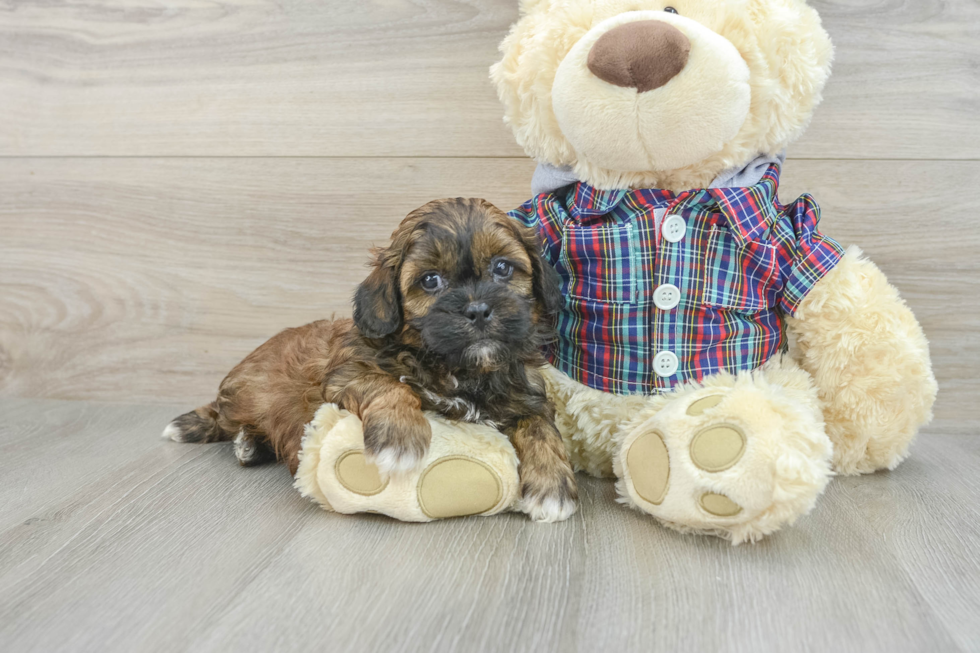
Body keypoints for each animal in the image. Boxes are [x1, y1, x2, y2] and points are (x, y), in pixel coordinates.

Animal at [164, 196, 580, 524]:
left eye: (503, 268)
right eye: (430, 280)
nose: (477, 310)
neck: (459, 367)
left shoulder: (525, 395)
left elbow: (541, 427)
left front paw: (553, 485)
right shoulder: (347, 372)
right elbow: (389, 386)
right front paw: (399, 438)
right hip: (250, 395)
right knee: (224, 416)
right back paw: (237, 438)